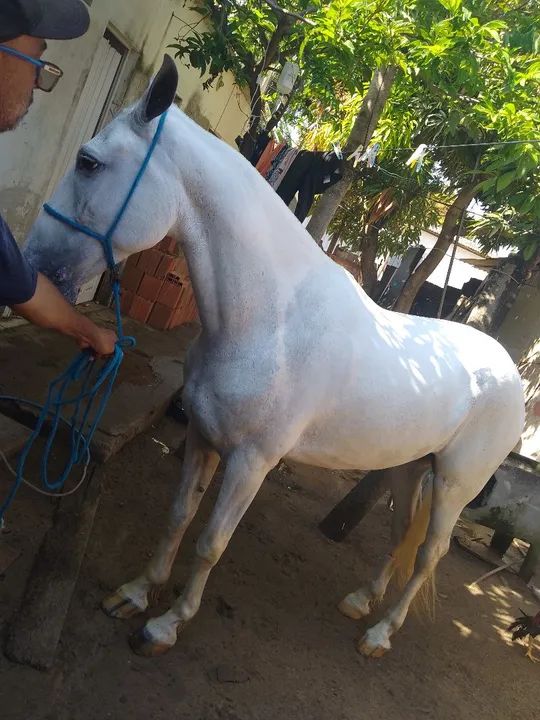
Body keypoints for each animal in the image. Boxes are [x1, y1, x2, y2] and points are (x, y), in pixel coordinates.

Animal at [24, 56, 525, 659]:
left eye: (89, 162)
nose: (33, 261)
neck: (271, 324)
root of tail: (508, 372)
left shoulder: (252, 461)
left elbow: (211, 542)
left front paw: (165, 625)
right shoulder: (202, 436)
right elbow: (178, 516)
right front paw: (137, 592)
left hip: (453, 485)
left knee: (430, 554)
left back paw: (380, 633)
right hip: (408, 467)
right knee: (402, 533)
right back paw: (361, 601)